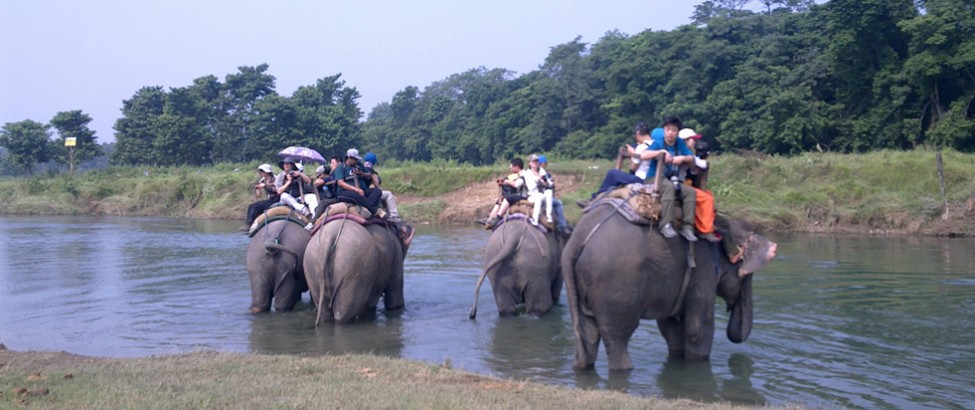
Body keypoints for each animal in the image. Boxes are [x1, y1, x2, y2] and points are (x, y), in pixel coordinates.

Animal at [564, 205, 776, 372]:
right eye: (747, 276)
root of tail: (576, 239)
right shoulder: (703, 270)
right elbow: (698, 329)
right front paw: (697, 365)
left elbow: (670, 327)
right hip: (617, 286)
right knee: (617, 335)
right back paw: (624, 370)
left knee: (588, 333)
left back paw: (582, 367)